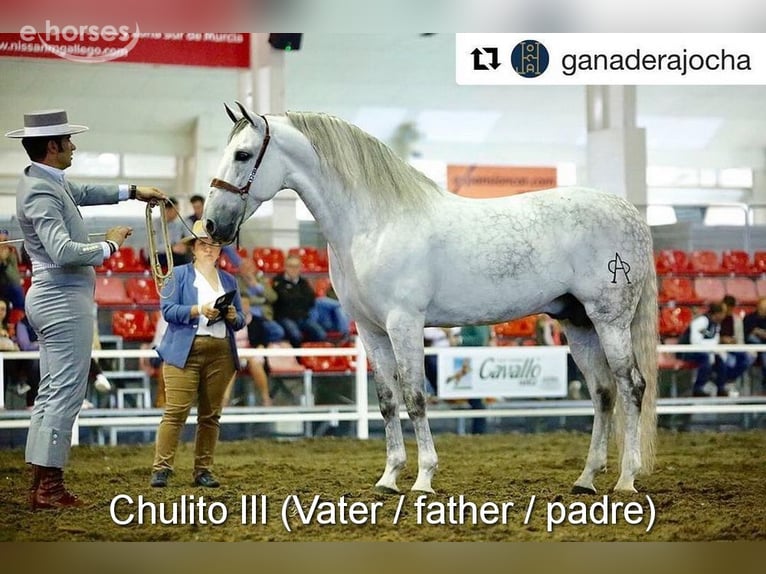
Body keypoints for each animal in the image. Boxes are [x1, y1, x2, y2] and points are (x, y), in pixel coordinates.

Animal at [203, 102, 658, 495]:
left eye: (243, 155)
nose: (210, 224)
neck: (374, 223)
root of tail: (630, 213)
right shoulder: (370, 330)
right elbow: (388, 401)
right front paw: (388, 478)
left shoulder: (405, 323)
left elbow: (415, 397)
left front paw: (423, 478)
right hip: (577, 322)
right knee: (603, 392)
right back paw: (586, 478)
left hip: (610, 319)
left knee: (631, 386)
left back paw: (626, 479)